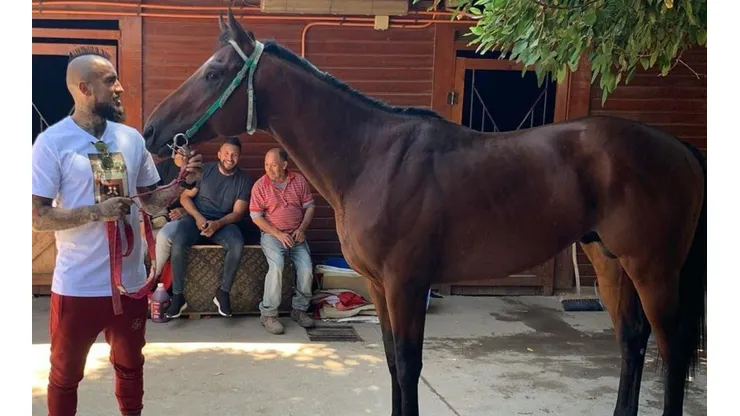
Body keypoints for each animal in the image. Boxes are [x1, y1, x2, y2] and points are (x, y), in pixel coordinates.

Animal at [142, 10, 706, 416]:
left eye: (214, 73)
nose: (151, 130)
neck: (371, 158)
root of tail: (678, 148)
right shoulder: (379, 287)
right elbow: (394, 364)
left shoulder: (406, 283)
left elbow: (410, 366)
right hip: (609, 260)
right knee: (632, 341)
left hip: (653, 268)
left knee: (672, 349)